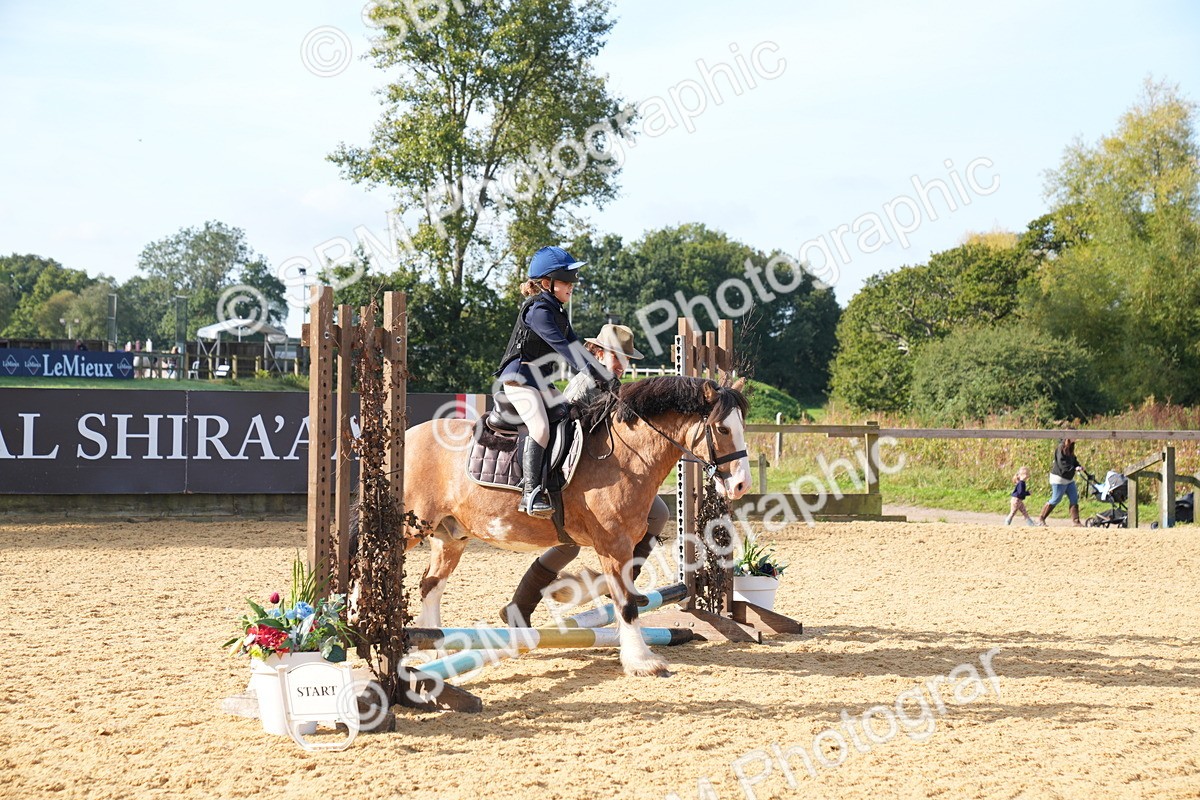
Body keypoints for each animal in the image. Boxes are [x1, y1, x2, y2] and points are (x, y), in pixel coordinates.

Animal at [402, 375, 752, 677]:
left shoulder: (618, 541)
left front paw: (568, 589)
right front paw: (642, 661)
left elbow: (617, 586)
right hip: (412, 528)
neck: (624, 457)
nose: (740, 486)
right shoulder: (613, 543)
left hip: (450, 535)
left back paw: (432, 649)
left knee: (430, 584)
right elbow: (624, 604)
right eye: (722, 429)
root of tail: (406, 436)